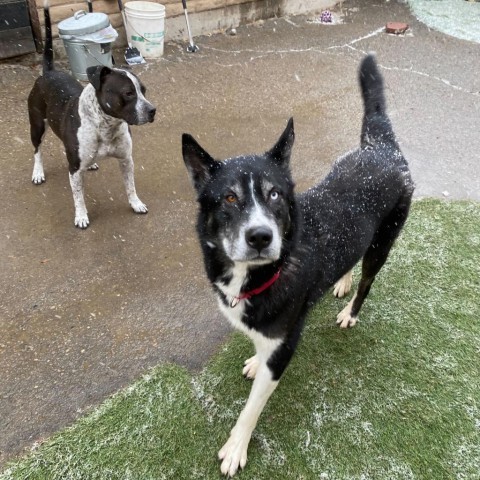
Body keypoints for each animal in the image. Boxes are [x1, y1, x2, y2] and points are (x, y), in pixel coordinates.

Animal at [27, 3, 156, 229]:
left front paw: (135, 203)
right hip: (37, 126)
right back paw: (38, 172)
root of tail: (48, 72)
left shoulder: (126, 159)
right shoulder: (75, 170)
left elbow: (130, 186)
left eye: (144, 91)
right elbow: (78, 195)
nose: (152, 110)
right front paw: (81, 216)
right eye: (128, 93)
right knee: (37, 150)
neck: (105, 125)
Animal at [183, 53, 412, 476]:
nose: (260, 236)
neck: (262, 274)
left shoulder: (285, 348)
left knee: (368, 281)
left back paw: (350, 311)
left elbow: (251, 408)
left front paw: (236, 448)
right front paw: (254, 360)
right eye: (229, 198)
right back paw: (342, 280)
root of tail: (381, 148)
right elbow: (258, 350)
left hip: (383, 242)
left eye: (274, 194)